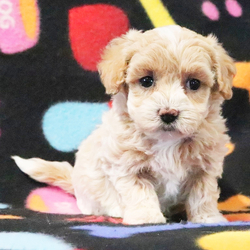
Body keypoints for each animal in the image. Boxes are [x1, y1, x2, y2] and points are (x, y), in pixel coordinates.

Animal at [12, 25, 236, 225]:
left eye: (194, 83)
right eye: (146, 81)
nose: (168, 114)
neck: (166, 141)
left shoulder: (205, 166)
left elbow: (203, 194)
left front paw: (208, 219)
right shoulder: (127, 165)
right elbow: (140, 192)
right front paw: (147, 218)